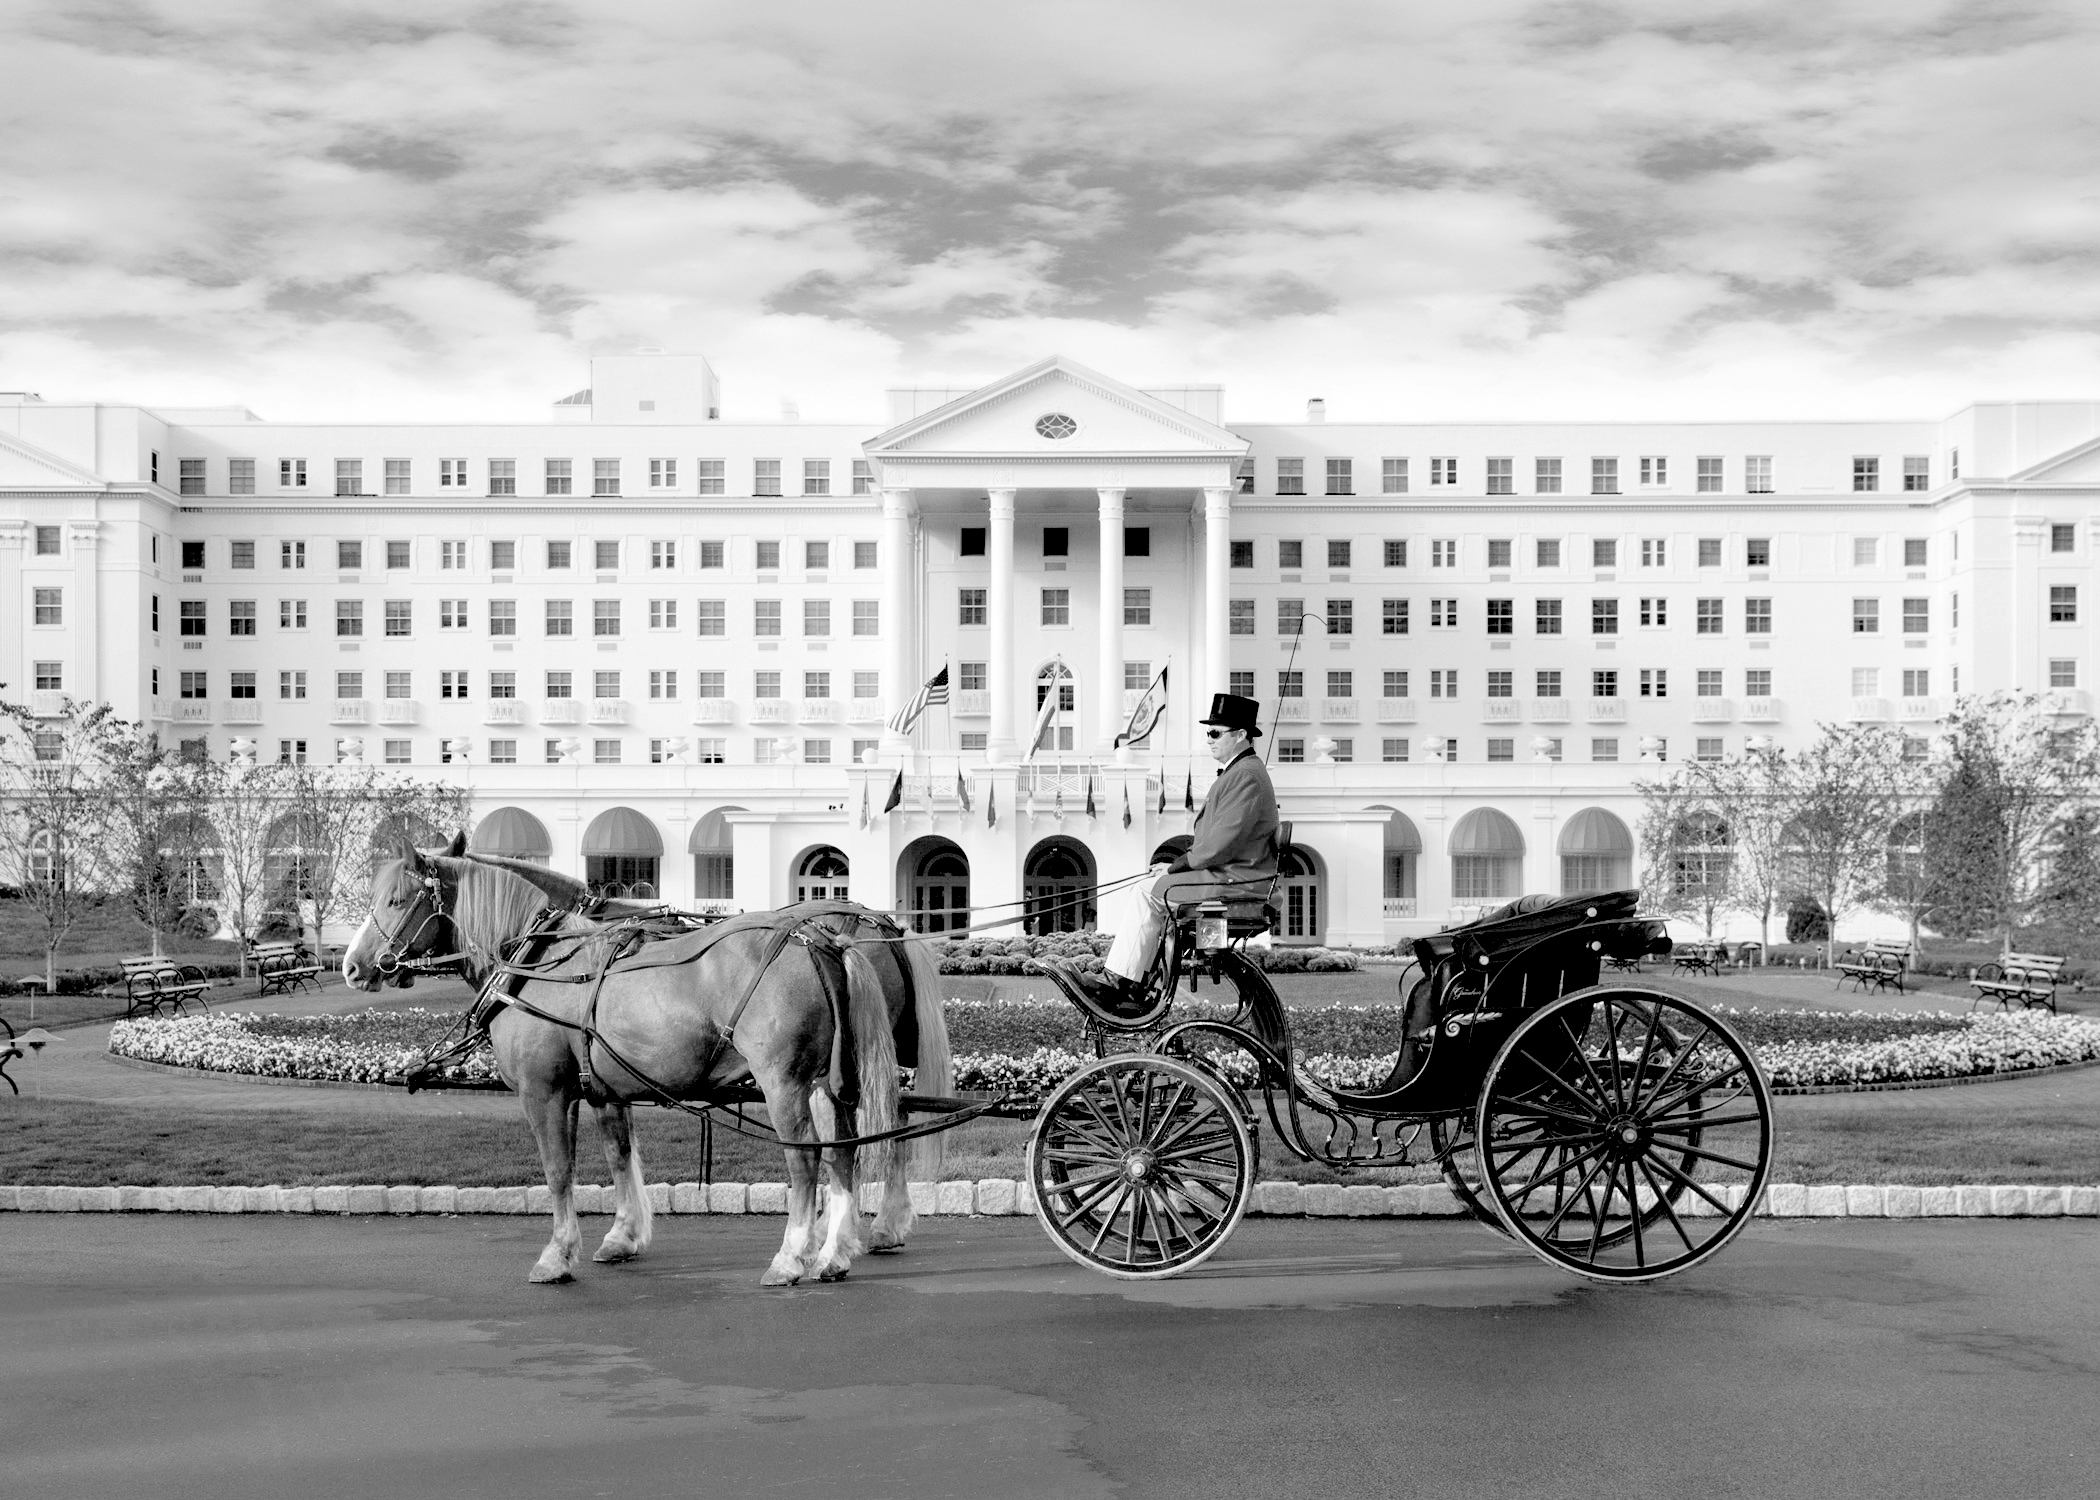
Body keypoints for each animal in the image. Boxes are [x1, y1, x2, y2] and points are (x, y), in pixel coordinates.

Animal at [342, 836, 953, 1277]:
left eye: (395, 900)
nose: (352, 965)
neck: (539, 960)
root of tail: (825, 938)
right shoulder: (604, 1087)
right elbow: (618, 1158)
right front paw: (622, 1235)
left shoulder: (545, 1092)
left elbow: (559, 1171)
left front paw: (557, 1254)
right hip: (834, 1079)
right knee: (848, 1151)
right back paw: (835, 1252)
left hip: (787, 1083)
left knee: (808, 1160)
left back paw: (797, 1254)